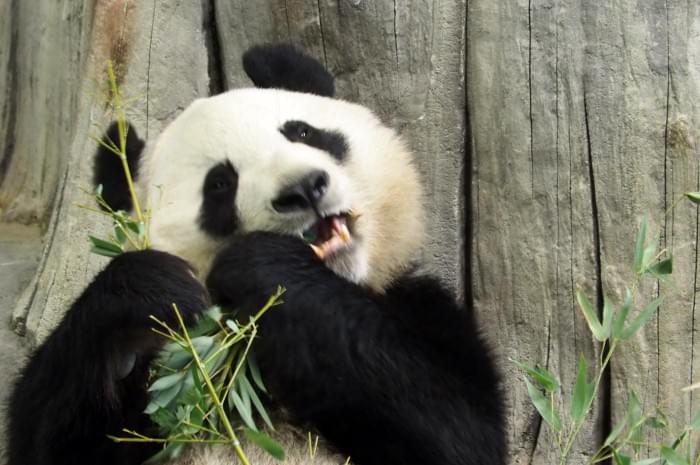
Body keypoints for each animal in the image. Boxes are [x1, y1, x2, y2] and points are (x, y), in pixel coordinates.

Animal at [8, 43, 506, 464]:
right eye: (220, 185)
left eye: (303, 131)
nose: (304, 188)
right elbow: (48, 438)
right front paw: (150, 291)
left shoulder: (417, 303)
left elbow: (459, 429)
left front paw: (266, 269)